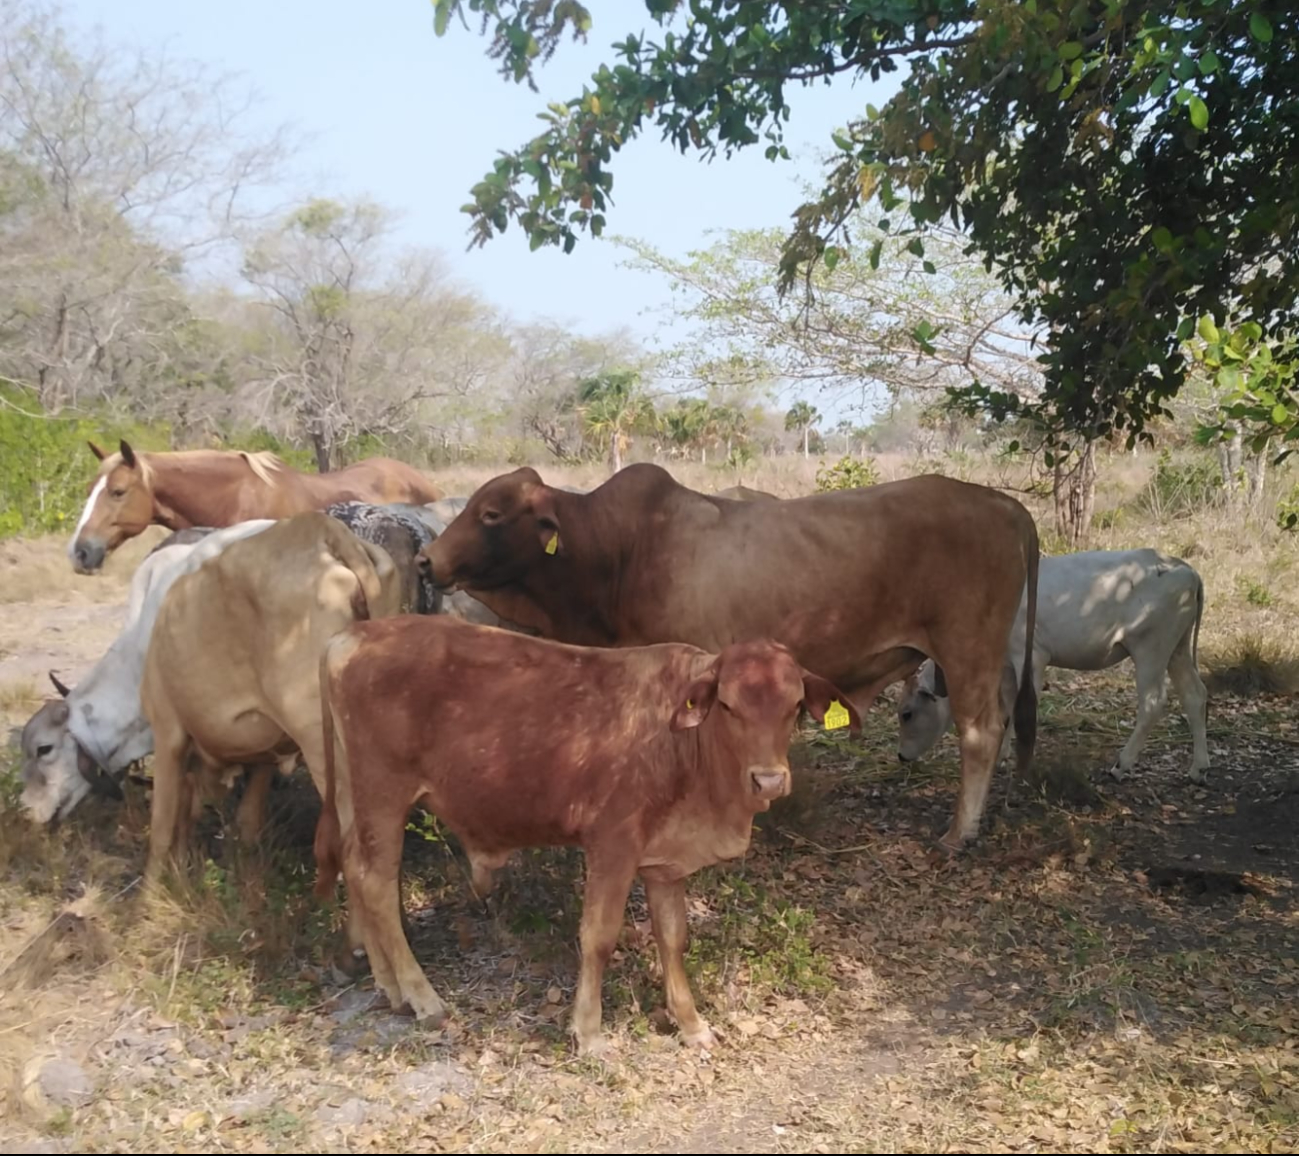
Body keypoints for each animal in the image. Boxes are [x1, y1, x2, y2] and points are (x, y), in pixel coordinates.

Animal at [314, 613, 862, 1054]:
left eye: (795, 706)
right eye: (727, 705)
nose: (768, 780)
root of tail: (353, 635)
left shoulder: (664, 863)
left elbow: (673, 937)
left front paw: (691, 1025)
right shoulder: (613, 843)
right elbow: (598, 937)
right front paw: (590, 1033)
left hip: (353, 798)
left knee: (354, 869)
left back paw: (390, 989)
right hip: (383, 794)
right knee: (376, 883)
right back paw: (423, 997)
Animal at [420, 462, 1039, 846]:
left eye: (491, 514)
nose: (427, 561)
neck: (620, 553)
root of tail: (1003, 503)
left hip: (968, 646)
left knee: (981, 731)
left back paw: (959, 834)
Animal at [893, 545, 1205, 779]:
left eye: (907, 713)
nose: (901, 756)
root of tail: (1184, 568)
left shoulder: (1031, 658)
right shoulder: (1007, 668)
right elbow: (1006, 709)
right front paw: (1001, 755)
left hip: (1150, 648)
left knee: (1153, 703)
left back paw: (1122, 764)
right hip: (1177, 648)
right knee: (1194, 695)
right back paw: (1198, 768)